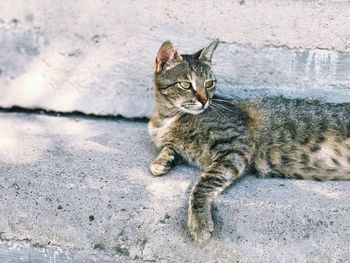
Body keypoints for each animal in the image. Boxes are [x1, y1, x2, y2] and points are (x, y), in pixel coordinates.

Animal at [148, 39, 350, 243]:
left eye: (209, 83)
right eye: (185, 85)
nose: (205, 101)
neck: (168, 118)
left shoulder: (234, 149)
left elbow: (204, 182)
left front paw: (199, 221)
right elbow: (168, 148)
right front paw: (162, 161)